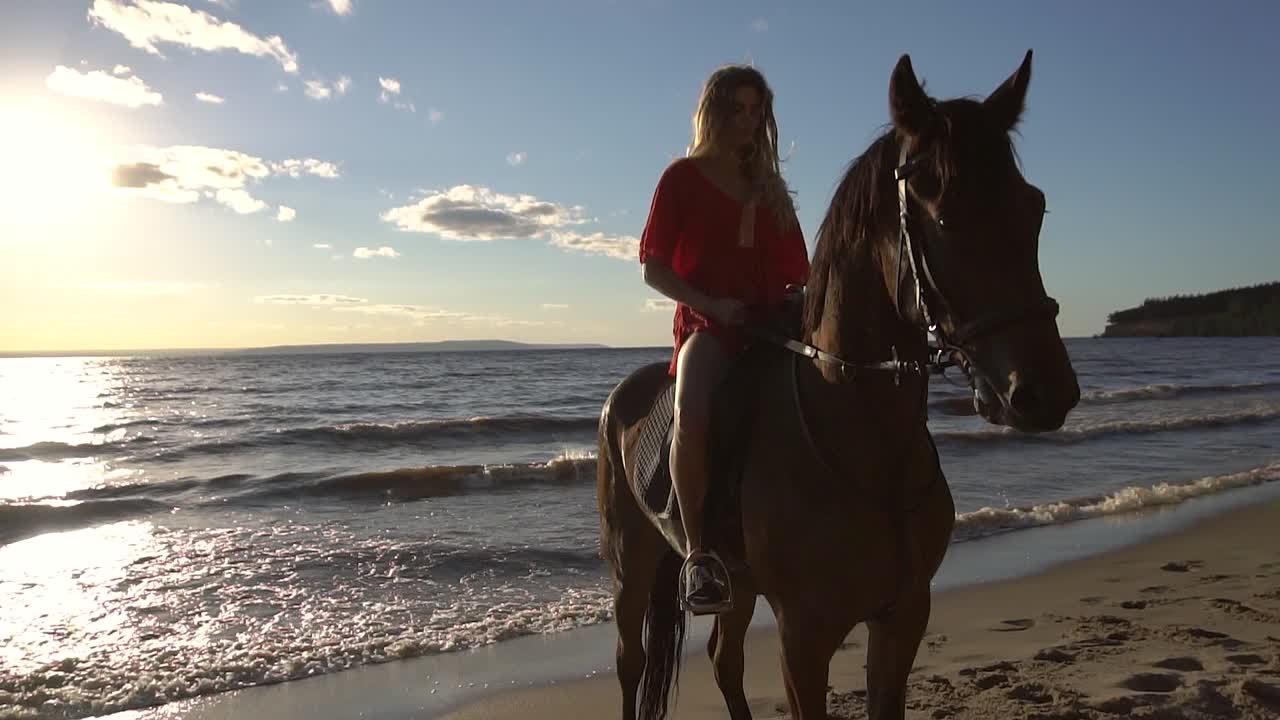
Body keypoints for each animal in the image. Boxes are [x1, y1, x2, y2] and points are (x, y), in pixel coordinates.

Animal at [596, 50, 1080, 720]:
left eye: (1034, 208)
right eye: (944, 217)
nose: (1043, 393)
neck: (864, 445)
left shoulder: (903, 618)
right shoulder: (804, 636)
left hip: (737, 584)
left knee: (724, 660)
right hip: (631, 565)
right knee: (632, 662)